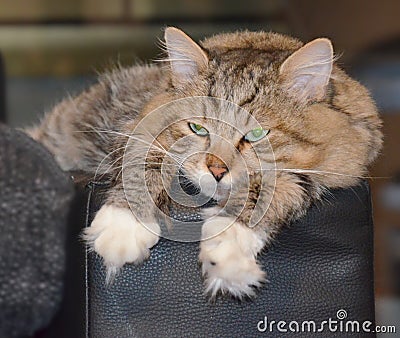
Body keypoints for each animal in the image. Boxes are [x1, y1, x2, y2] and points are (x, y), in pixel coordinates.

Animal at [26, 27, 382, 298]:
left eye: (256, 134)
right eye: (198, 128)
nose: (217, 170)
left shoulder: (339, 165)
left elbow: (273, 190)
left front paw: (229, 248)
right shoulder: (133, 129)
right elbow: (145, 163)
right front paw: (123, 227)